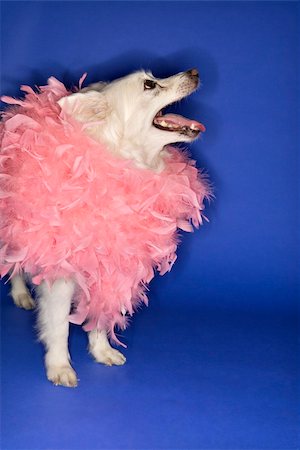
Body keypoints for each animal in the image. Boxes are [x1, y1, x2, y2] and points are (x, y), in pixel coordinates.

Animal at [8, 67, 204, 386]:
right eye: (149, 85)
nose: (194, 71)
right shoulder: (61, 275)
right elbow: (59, 325)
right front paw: (59, 366)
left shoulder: (113, 268)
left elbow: (101, 314)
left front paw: (102, 351)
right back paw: (21, 294)